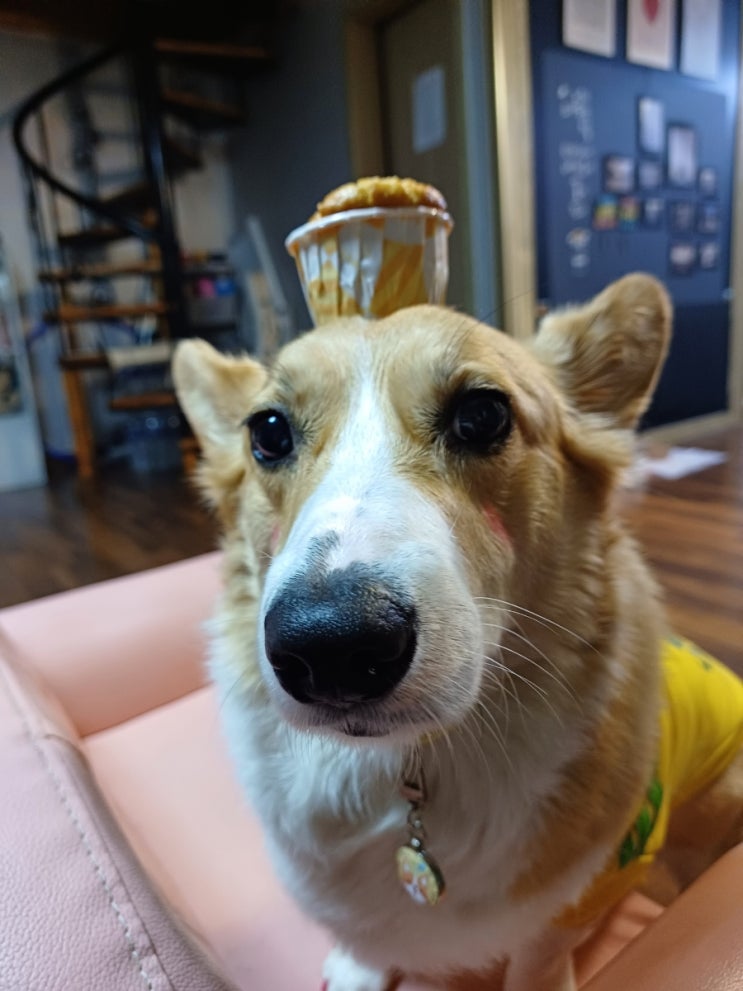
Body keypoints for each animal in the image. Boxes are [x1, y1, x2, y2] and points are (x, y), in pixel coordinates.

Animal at [173, 273, 743, 991]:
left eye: (482, 416)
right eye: (267, 432)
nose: (332, 649)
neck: (409, 768)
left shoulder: (578, 897)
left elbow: (536, 958)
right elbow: (365, 940)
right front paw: (357, 969)